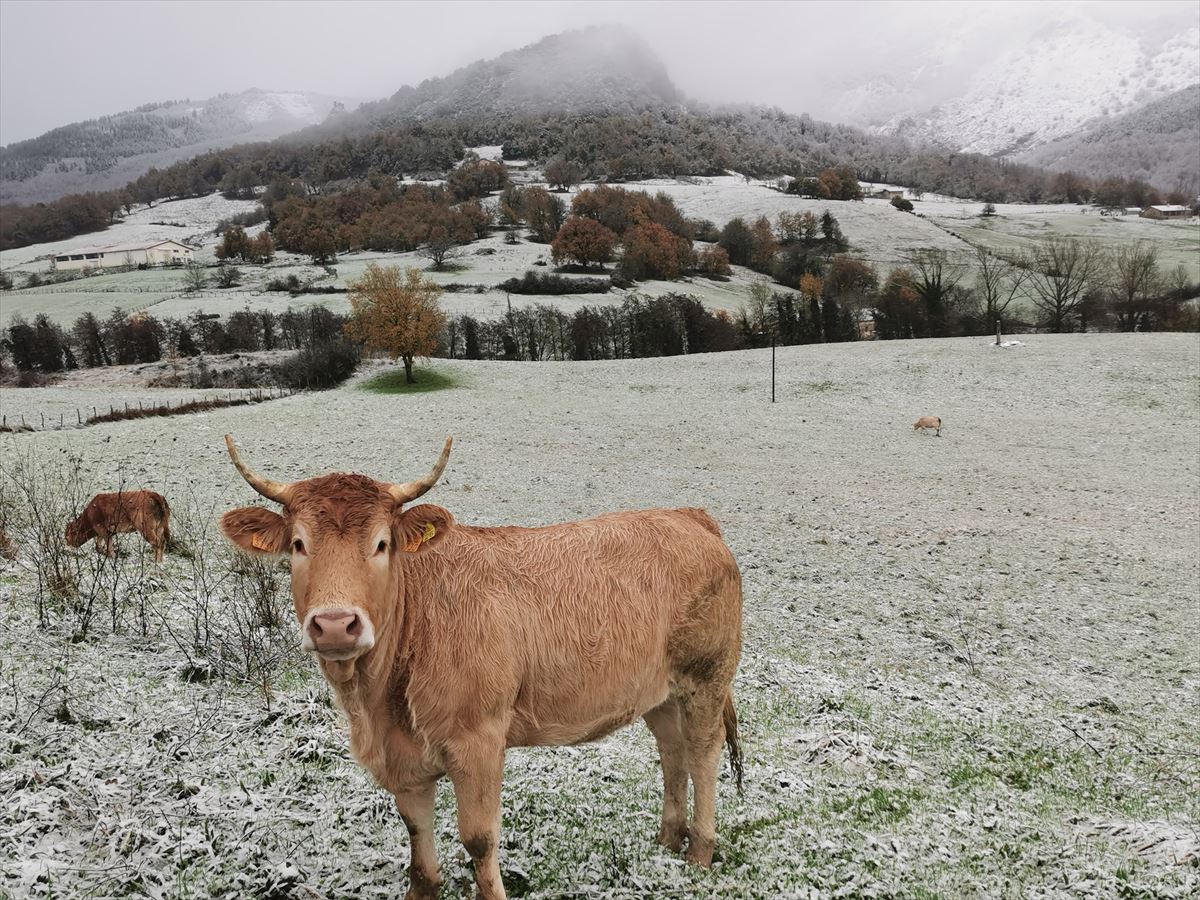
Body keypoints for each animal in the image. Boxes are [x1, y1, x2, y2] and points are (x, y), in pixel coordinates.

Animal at [217, 436, 739, 900]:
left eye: (382, 544)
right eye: (298, 545)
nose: (335, 625)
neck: (378, 702)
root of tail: (687, 516)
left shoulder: (480, 739)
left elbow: (479, 838)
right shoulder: (403, 757)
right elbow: (415, 830)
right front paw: (422, 889)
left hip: (707, 676)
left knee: (703, 752)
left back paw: (699, 850)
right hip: (659, 690)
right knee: (672, 750)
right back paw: (668, 838)